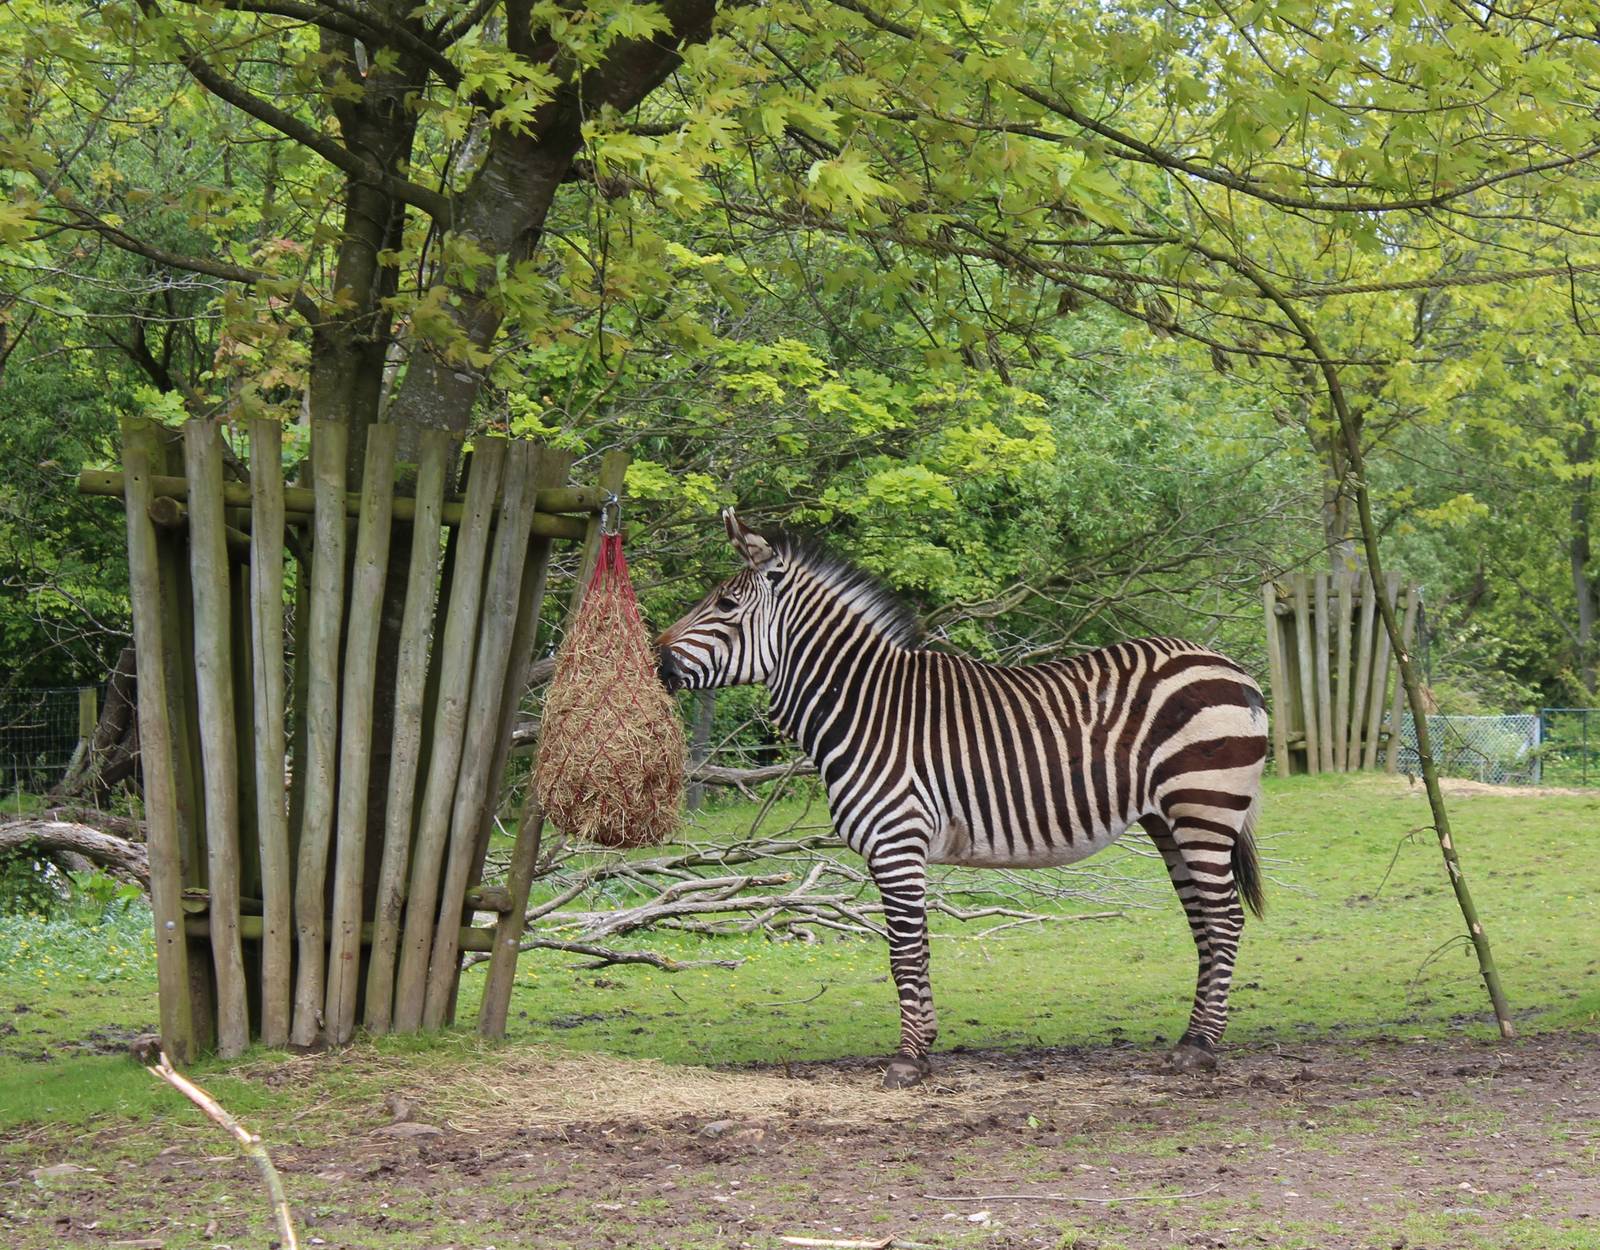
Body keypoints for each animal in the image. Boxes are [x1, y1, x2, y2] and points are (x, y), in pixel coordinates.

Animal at [656, 510, 1269, 1089]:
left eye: (727, 604)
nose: (656, 662)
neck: (862, 707)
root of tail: (1230, 667)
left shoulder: (896, 842)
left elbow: (905, 950)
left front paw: (908, 1060)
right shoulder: (895, 851)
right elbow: (916, 947)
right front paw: (924, 1047)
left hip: (1203, 806)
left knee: (1225, 918)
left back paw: (1201, 1048)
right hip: (1169, 820)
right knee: (1203, 919)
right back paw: (1190, 1038)